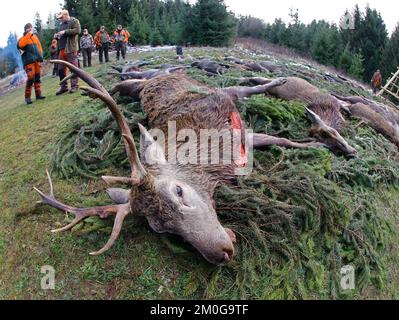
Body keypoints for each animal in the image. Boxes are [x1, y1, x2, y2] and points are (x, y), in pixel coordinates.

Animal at [35, 60, 334, 264]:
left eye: (179, 191)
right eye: (161, 228)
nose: (222, 252)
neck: (212, 159)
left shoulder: (235, 133)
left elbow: (283, 140)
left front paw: (320, 144)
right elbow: (278, 139)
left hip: (219, 92)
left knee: (243, 87)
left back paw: (279, 80)